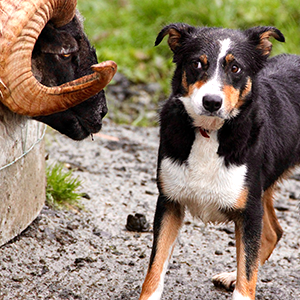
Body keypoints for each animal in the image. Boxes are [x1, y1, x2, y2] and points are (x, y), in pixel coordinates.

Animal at [139, 23, 300, 300]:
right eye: (196, 64)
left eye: (235, 68)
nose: (212, 102)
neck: (210, 131)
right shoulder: (169, 203)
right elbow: (155, 268)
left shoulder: (248, 211)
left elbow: (247, 273)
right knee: (273, 233)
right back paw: (231, 276)